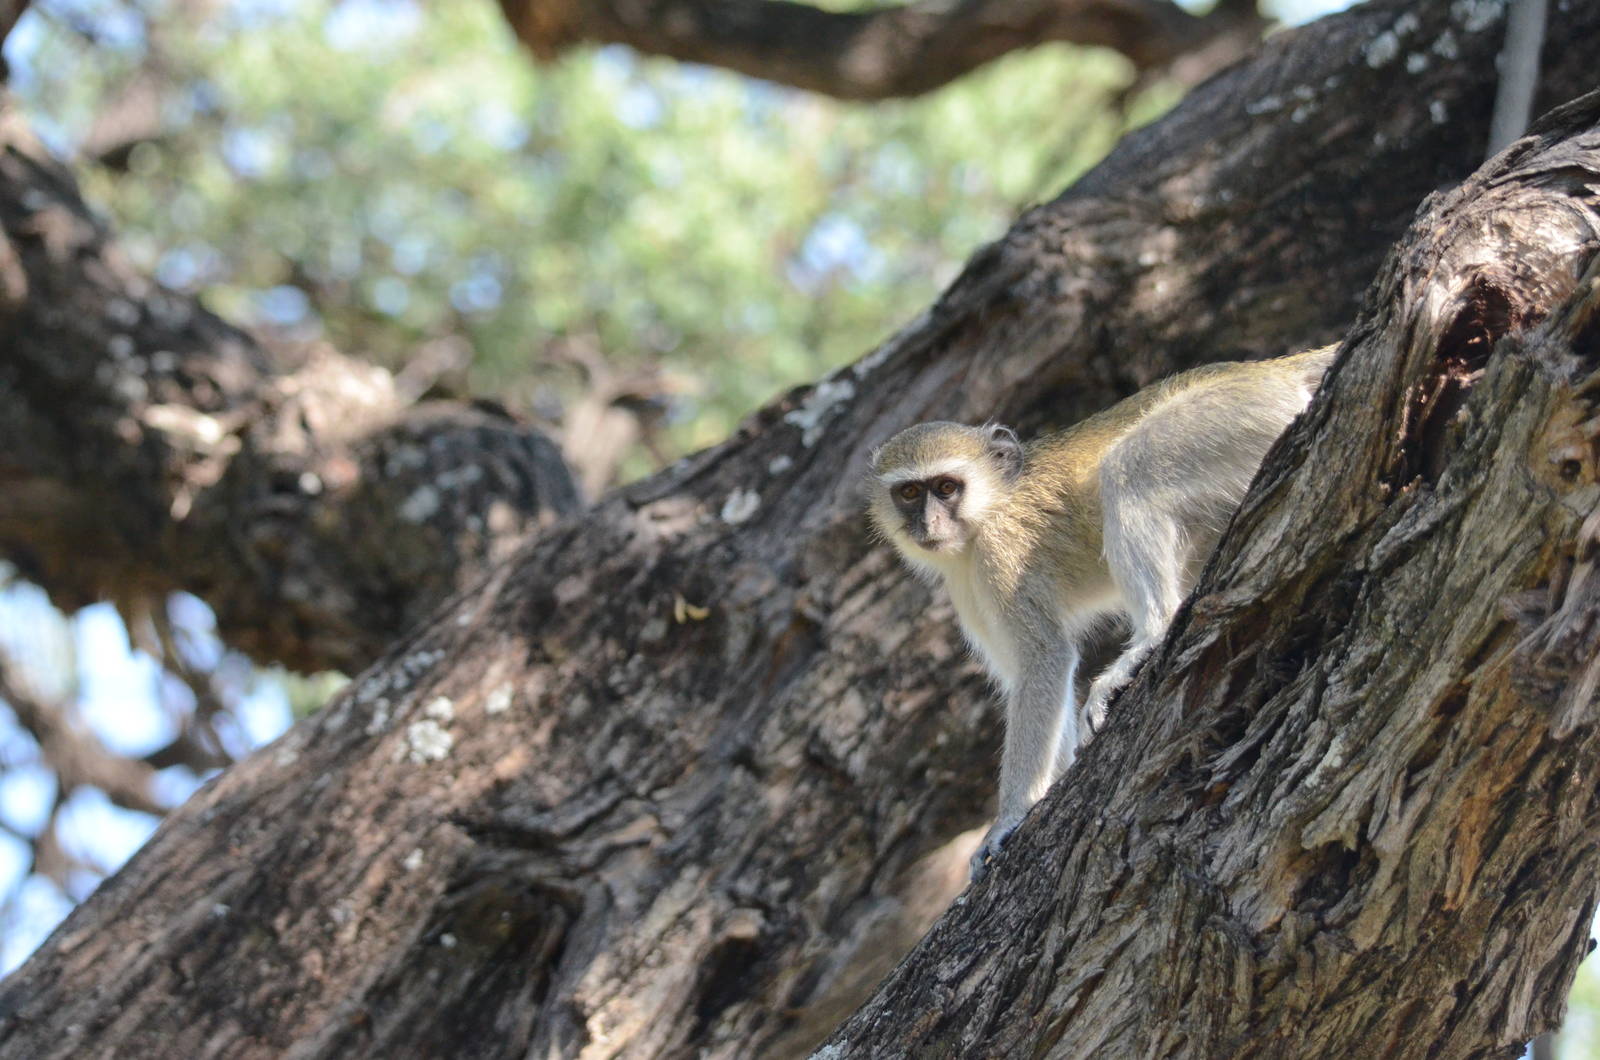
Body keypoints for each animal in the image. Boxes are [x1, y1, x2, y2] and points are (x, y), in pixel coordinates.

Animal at [866, 346, 1335, 881]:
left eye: (946, 488)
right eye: (909, 493)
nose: (928, 524)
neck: (991, 507)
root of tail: (1269, 370)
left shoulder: (999, 558)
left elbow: (1044, 663)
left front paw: (1010, 817)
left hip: (1242, 415)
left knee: (1132, 468)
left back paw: (1152, 635)